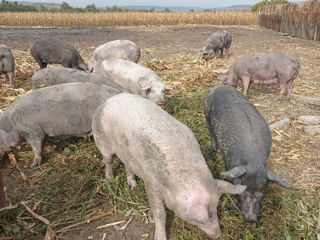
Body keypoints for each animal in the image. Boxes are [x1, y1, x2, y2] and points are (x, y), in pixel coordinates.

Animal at [91, 93, 246, 240]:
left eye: (215, 209)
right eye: (199, 219)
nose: (218, 234)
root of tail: (109, 100)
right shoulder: (151, 183)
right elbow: (159, 213)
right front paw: (160, 236)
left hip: (126, 153)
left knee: (127, 164)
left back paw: (133, 185)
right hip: (101, 138)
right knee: (108, 160)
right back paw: (110, 179)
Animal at [205, 85, 298, 222]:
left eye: (261, 190)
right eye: (243, 188)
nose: (251, 218)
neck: (253, 160)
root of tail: (220, 86)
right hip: (206, 114)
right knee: (212, 134)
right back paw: (214, 149)